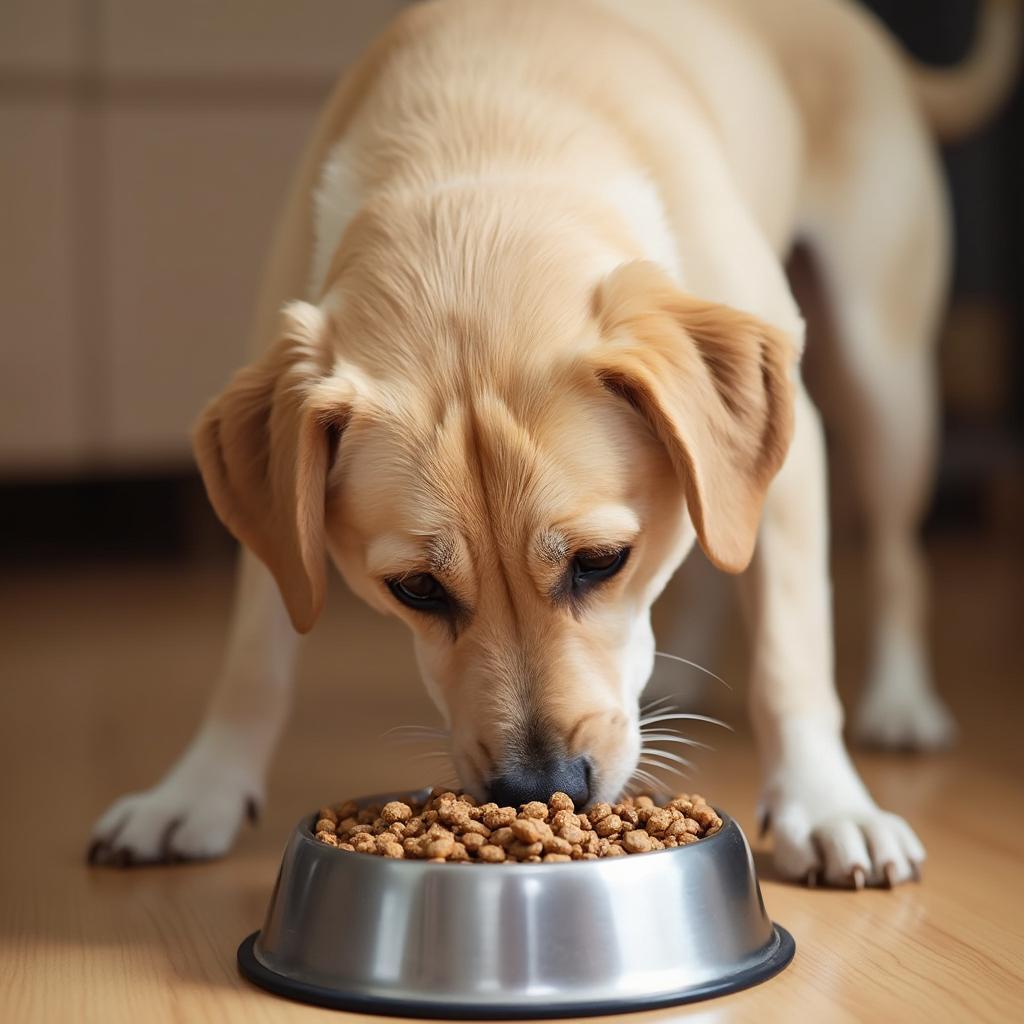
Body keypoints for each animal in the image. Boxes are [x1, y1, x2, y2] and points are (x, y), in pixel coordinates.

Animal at [88, 0, 1015, 884]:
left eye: (602, 562)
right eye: (415, 588)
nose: (542, 789)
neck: (482, 166)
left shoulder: (793, 461)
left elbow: (793, 652)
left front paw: (824, 805)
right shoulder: (277, 507)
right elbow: (254, 659)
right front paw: (197, 791)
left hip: (886, 382)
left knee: (894, 556)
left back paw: (900, 701)